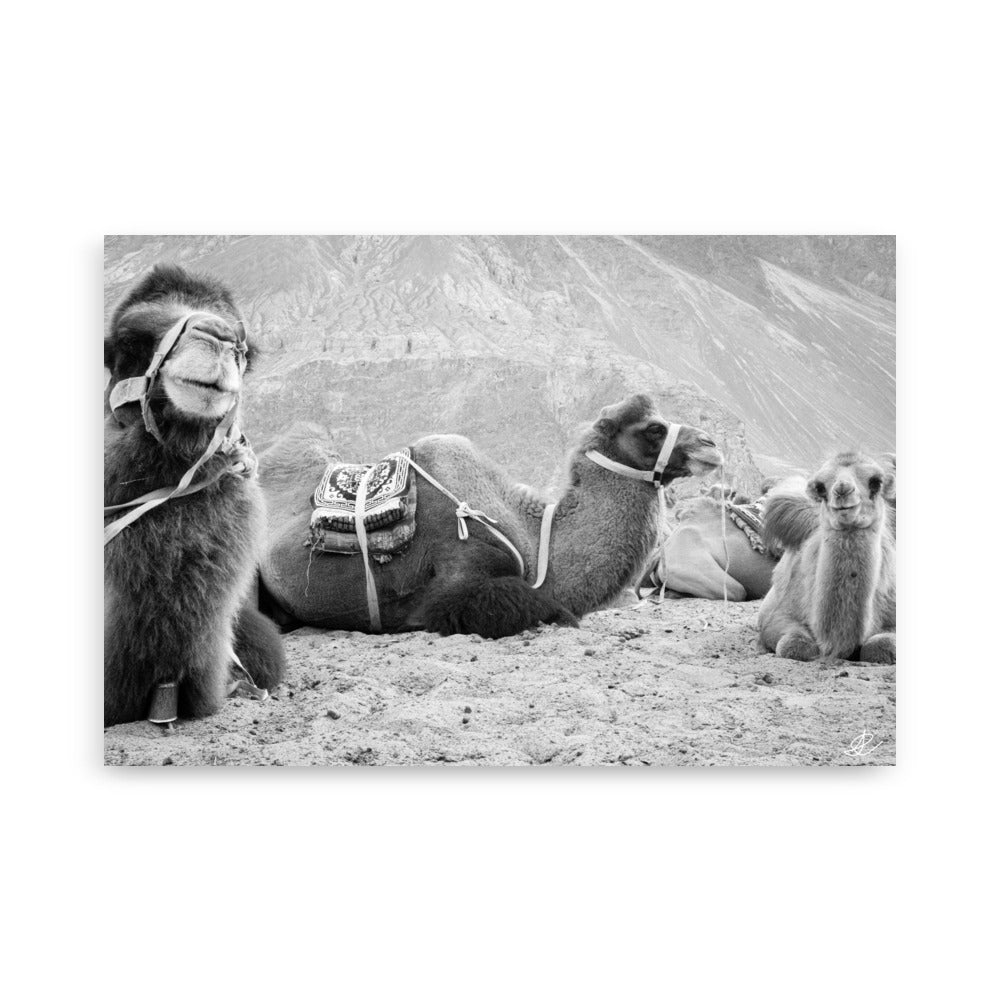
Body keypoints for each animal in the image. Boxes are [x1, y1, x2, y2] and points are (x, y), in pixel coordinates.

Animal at [756, 454, 900, 664]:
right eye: (820, 487)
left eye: (876, 482)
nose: (842, 490)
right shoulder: (779, 617)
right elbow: (794, 646)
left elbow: (881, 647)